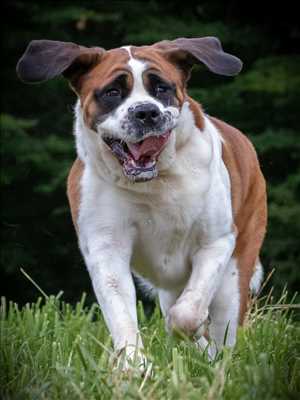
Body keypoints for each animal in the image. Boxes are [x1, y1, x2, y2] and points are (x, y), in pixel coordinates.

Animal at [17, 37, 268, 368]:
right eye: (112, 92)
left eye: (161, 88)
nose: (146, 112)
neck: (154, 182)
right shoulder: (106, 248)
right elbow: (122, 312)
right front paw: (134, 366)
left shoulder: (216, 242)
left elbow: (186, 314)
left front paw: (187, 330)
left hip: (236, 271)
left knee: (221, 325)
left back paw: (215, 361)